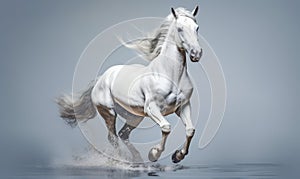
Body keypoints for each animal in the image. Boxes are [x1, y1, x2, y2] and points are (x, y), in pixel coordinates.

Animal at [57, 6, 203, 163]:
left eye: (196, 27)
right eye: (180, 28)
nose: (196, 53)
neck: (171, 75)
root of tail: (101, 78)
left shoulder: (183, 106)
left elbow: (190, 130)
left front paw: (177, 156)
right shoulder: (152, 108)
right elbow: (166, 127)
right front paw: (154, 154)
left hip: (134, 116)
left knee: (123, 134)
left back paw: (136, 159)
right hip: (109, 112)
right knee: (113, 138)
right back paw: (120, 160)